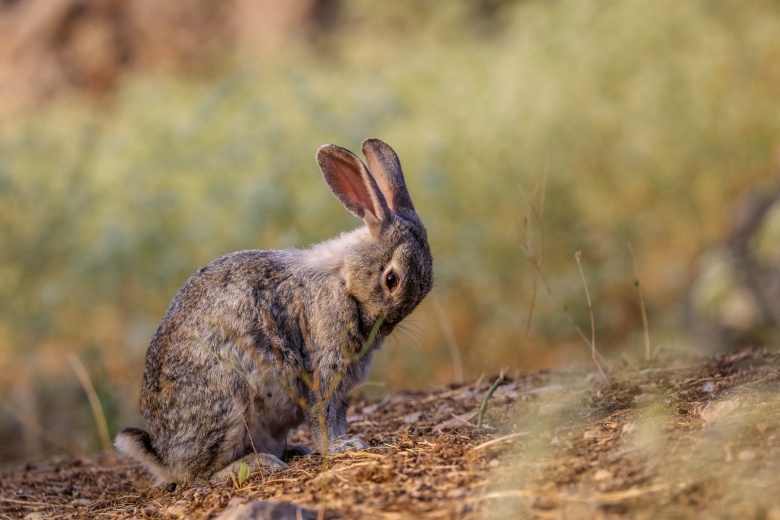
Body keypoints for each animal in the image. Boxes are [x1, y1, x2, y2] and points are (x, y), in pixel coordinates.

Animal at [114, 139, 432, 484]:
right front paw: (343, 446)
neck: (343, 277)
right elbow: (325, 414)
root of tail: (165, 457)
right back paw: (260, 464)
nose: (382, 325)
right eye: (392, 279)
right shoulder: (325, 363)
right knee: (202, 474)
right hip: (231, 401)